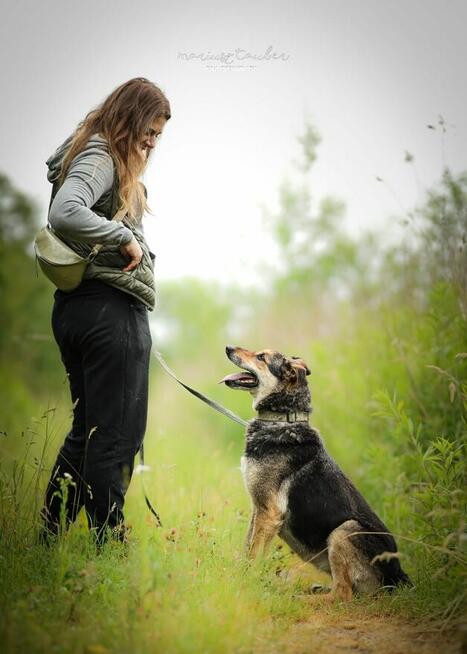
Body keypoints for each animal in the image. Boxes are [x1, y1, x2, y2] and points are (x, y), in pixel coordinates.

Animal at [221, 348, 412, 604]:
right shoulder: (258, 509)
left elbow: (253, 554)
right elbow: (247, 548)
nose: (228, 348)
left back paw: (304, 598)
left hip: (344, 530)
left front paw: (245, 585)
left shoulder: (268, 512)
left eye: (261, 357)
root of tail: (399, 576)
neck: (283, 420)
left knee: (342, 593)